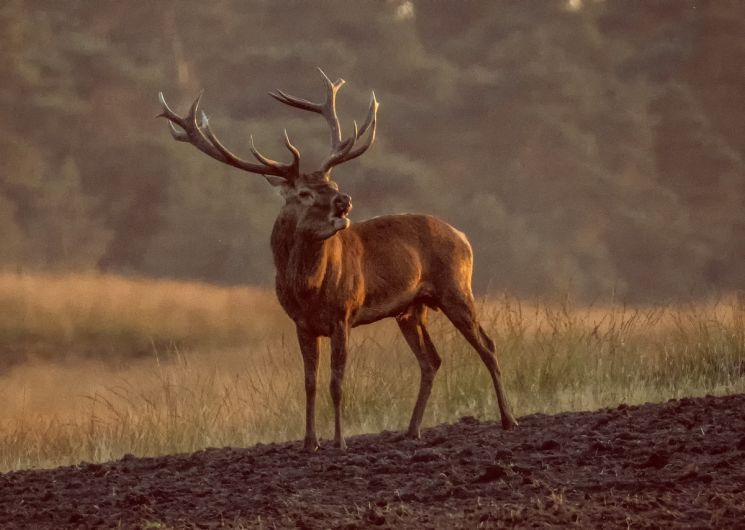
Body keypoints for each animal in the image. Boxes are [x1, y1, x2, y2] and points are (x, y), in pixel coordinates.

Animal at [158, 69, 518, 452]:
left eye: (332, 183)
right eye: (304, 193)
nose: (343, 200)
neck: (307, 288)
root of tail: (463, 236)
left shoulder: (344, 313)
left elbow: (337, 382)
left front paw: (340, 442)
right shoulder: (301, 323)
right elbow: (310, 382)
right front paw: (308, 442)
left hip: (456, 288)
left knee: (487, 345)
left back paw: (509, 420)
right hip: (411, 309)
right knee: (431, 360)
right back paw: (411, 431)